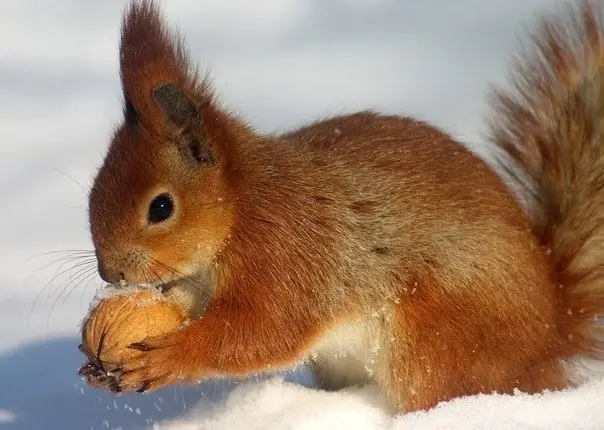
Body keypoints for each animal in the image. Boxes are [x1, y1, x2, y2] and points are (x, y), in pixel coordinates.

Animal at [82, 0, 604, 414]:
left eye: (161, 207)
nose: (111, 273)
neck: (241, 208)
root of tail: (552, 329)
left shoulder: (287, 255)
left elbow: (261, 332)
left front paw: (166, 358)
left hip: (437, 343)